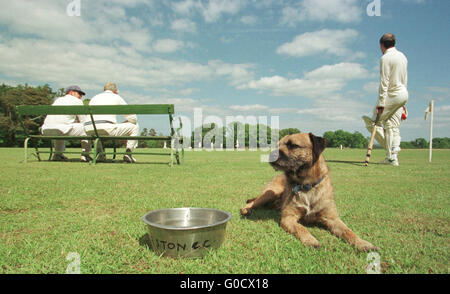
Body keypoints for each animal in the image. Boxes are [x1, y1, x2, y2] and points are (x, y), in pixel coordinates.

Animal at [241, 132, 378, 252]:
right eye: (277, 145)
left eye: (293, 145)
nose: (270, 155)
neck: (306, 185)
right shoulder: (288, 218)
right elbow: (301, 228)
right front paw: (310, 240)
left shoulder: (333, 219)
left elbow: (348, 231)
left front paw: (362, 243)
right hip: (270, 192)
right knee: (251, 202)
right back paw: (246, 210)